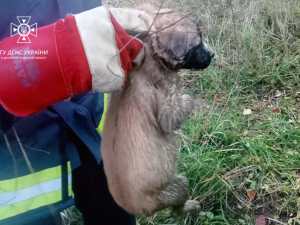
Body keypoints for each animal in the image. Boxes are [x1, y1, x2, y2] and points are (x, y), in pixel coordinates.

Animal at [102, 3, 214, 217]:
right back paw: (191, 207)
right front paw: (189, 99)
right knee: (176, 210)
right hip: (178, 186)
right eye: (197, 43)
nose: (212, 54)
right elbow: (179, 109)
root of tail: (135, 208)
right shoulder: (168, 106)